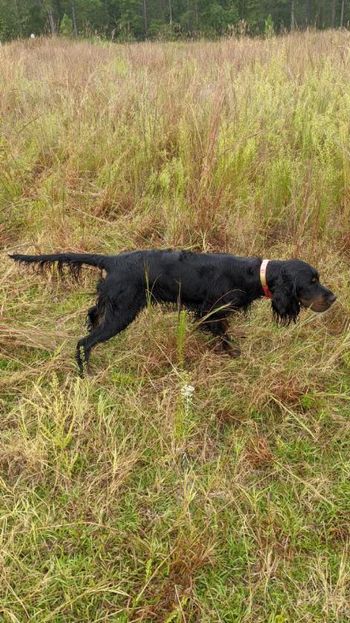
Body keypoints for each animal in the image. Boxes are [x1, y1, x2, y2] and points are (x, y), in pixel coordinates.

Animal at [10, 251, 336, 378]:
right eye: (312, 281)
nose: (333, 297)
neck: (251, 274)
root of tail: (112, 260)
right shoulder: (210, 311)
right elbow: (223, 335)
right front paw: (233, 354)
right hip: (123, 312)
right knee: (84, 342)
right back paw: (86, 373)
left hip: (112, 304)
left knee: (92, 316)